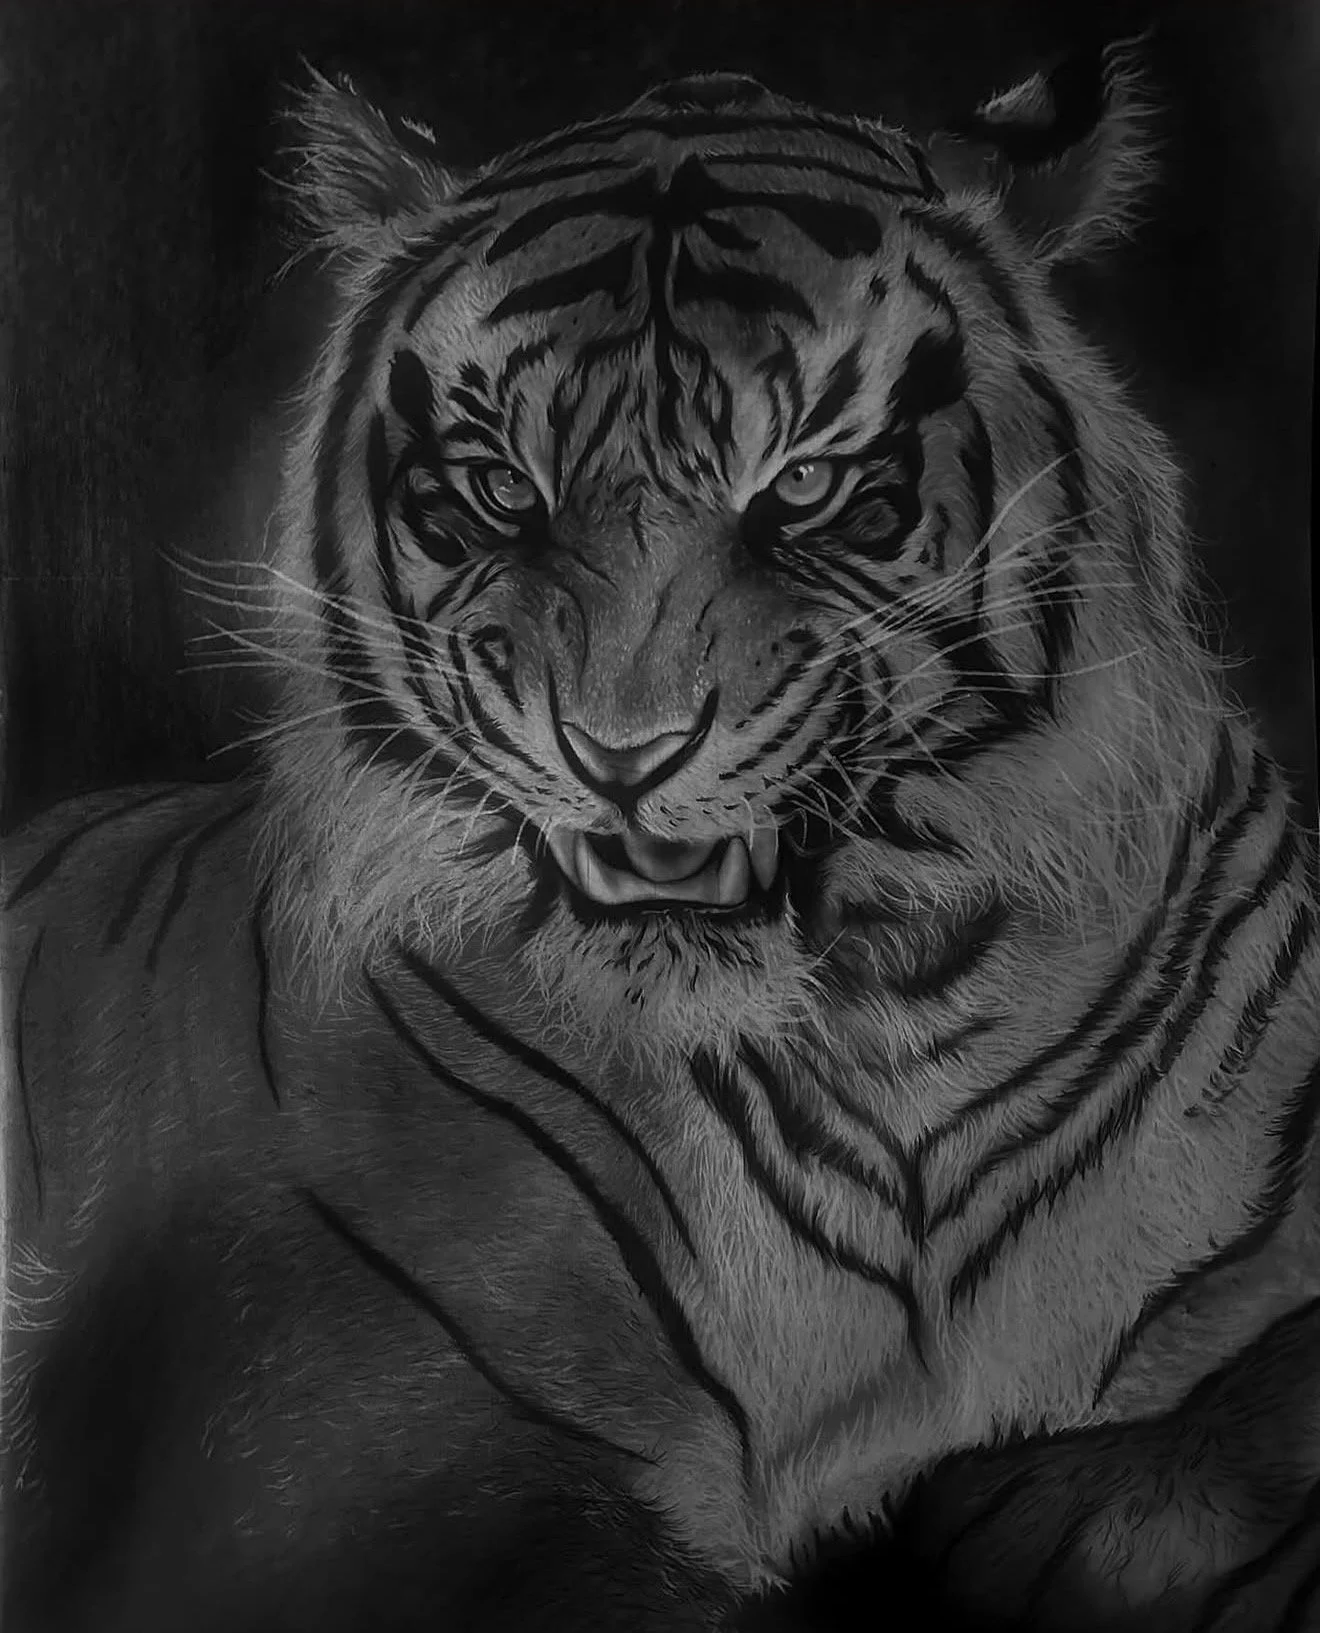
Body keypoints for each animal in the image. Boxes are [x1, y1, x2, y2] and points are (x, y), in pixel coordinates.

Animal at [4, 43, 1320, 1633]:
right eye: (502, 489)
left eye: (803, 483)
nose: (621, 757)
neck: (898, 1032)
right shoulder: (296, 1473)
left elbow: (1255, 1406)